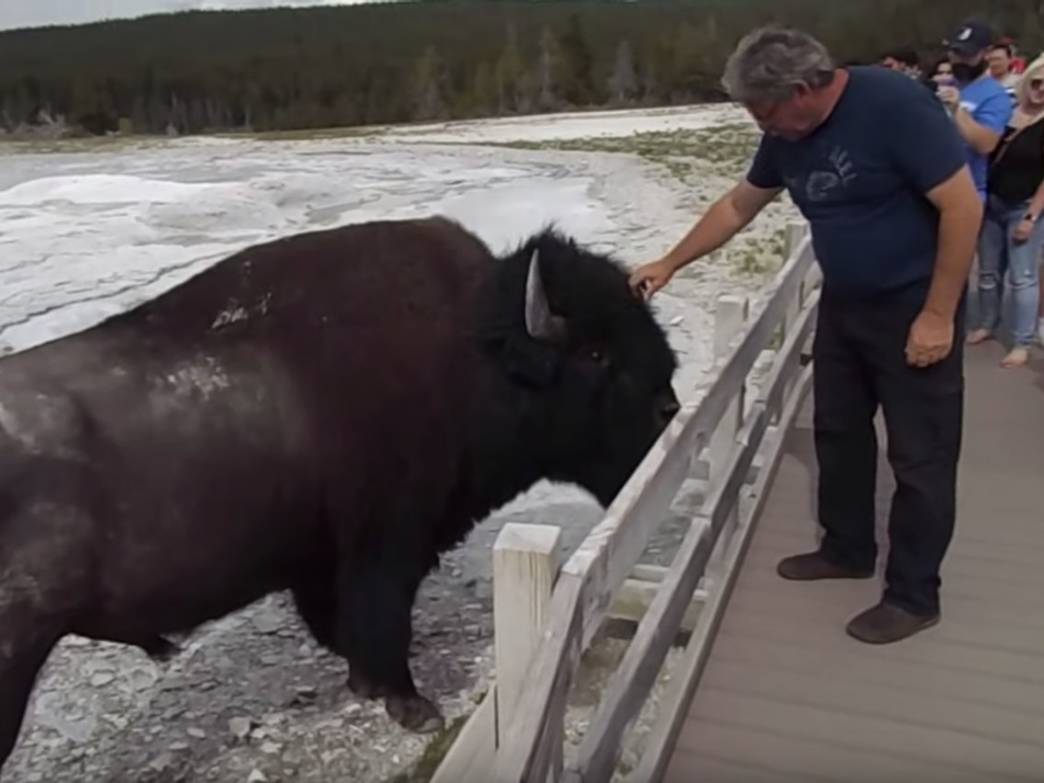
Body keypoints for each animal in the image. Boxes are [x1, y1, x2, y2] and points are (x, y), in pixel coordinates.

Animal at [0, 216, 679, 770]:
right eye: (596, 353)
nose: (669, 407)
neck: (470, 350)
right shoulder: (385, 543)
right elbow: (381, 619)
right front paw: (411, 705)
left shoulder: (325, 559)